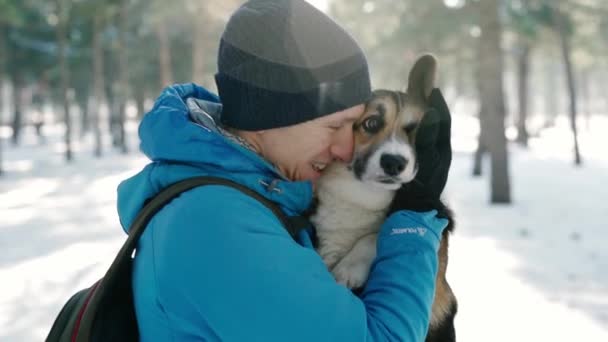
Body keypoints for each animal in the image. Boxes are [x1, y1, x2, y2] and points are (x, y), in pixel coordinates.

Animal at [312, 54, 454, 340]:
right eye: (371, 123)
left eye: (416, 130)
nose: (393, 162)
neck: (363, 196)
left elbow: (373, 236)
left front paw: (349, 268)